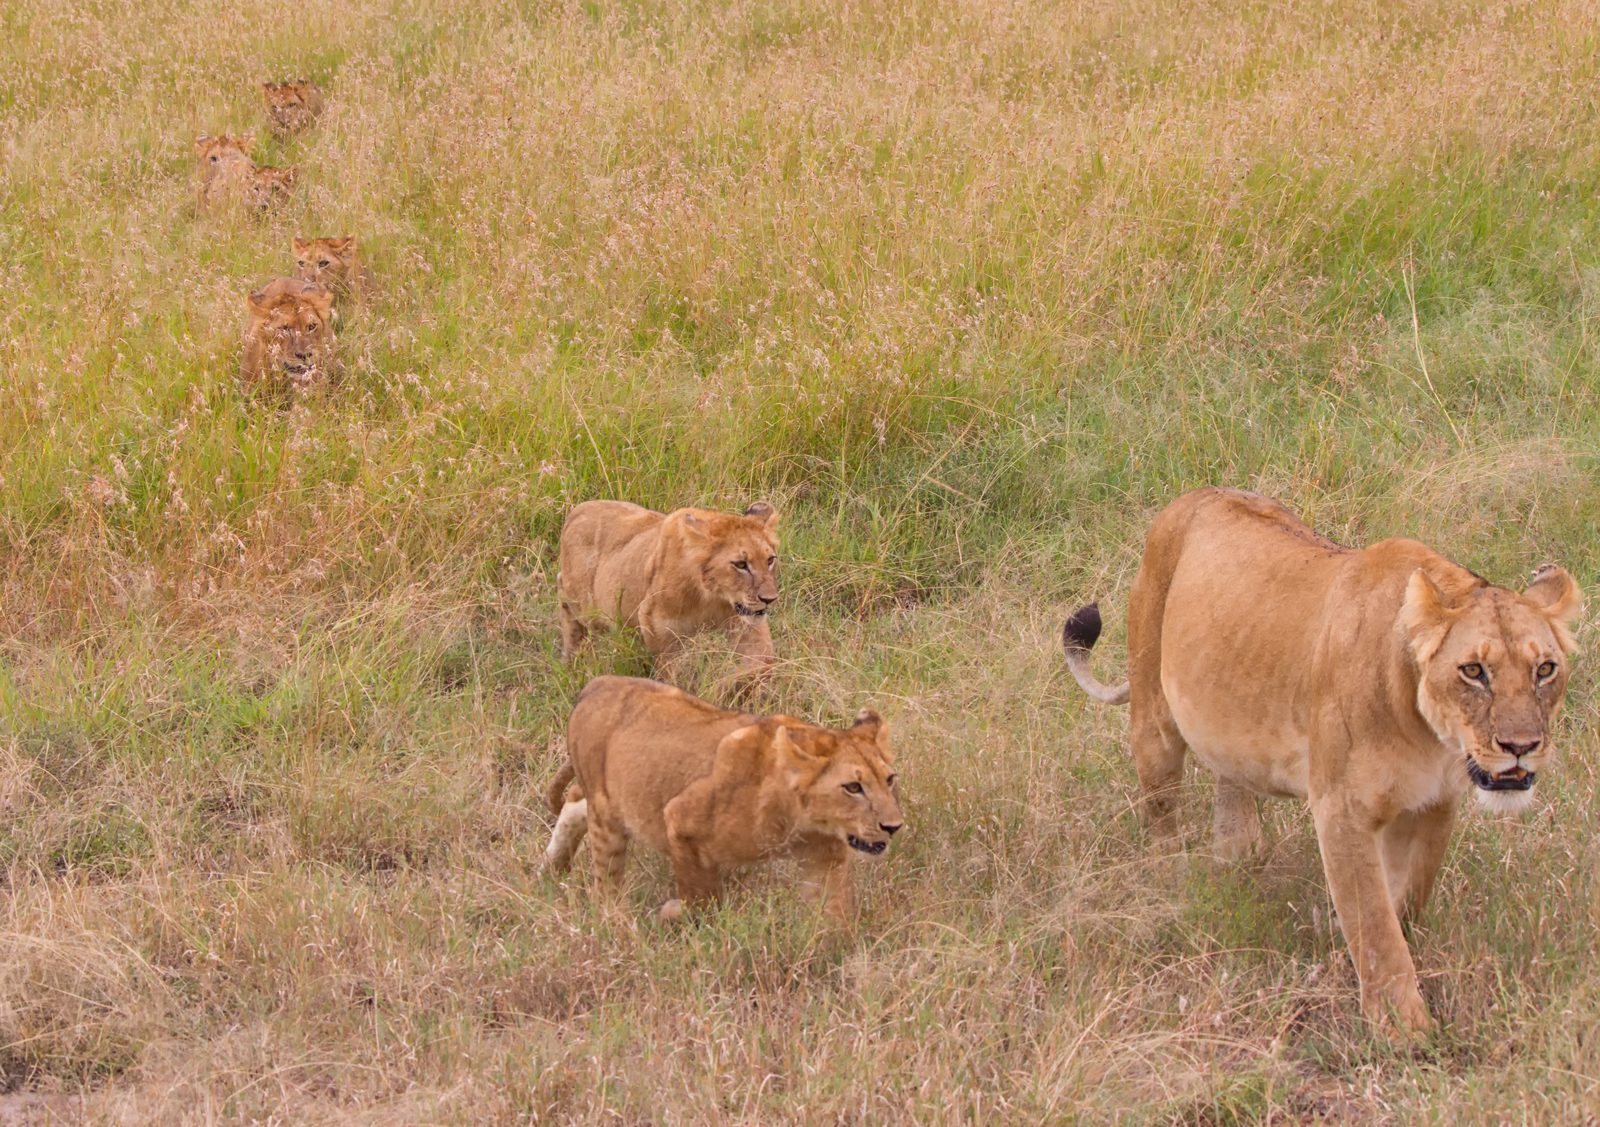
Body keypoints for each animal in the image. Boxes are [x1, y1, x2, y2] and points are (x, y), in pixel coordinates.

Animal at [542, 676, 903, 922]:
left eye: (889, 779)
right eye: (853, 787)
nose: (893, 826)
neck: (800, 820)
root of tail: (597, 684)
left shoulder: (826, 859)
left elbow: (836, 913)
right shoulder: (680, 820)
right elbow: (701, 898)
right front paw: (674, 913)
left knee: (574, 800)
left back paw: (551, 869)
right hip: (608, 820)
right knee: (606, 884)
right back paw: (612, 919)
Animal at [557, 500, 781, 688]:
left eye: (770, 560)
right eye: (741, 564)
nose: (769, 599)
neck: (711, 597)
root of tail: (576, 511)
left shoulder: (747, 625)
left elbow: (761, 664)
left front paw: (723, 686)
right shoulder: (660, 631)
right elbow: (672, 675)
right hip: (585, 606)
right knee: (565, 598)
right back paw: (570, 657)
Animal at [1061, 487, 1582, 1036]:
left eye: (1545, 669)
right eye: (1474, 671)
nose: (1522, 745)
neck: (1429, 735)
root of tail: (1195, 494)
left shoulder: (1434, 804)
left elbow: (1406, 900)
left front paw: (1343, 946)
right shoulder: (1342, 809)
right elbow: (1375, 925)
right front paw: (1404, 1031)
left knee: (1232, 798)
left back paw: (1238, 857)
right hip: (1154, 717)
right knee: (1160, 816)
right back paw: (1170, 888)